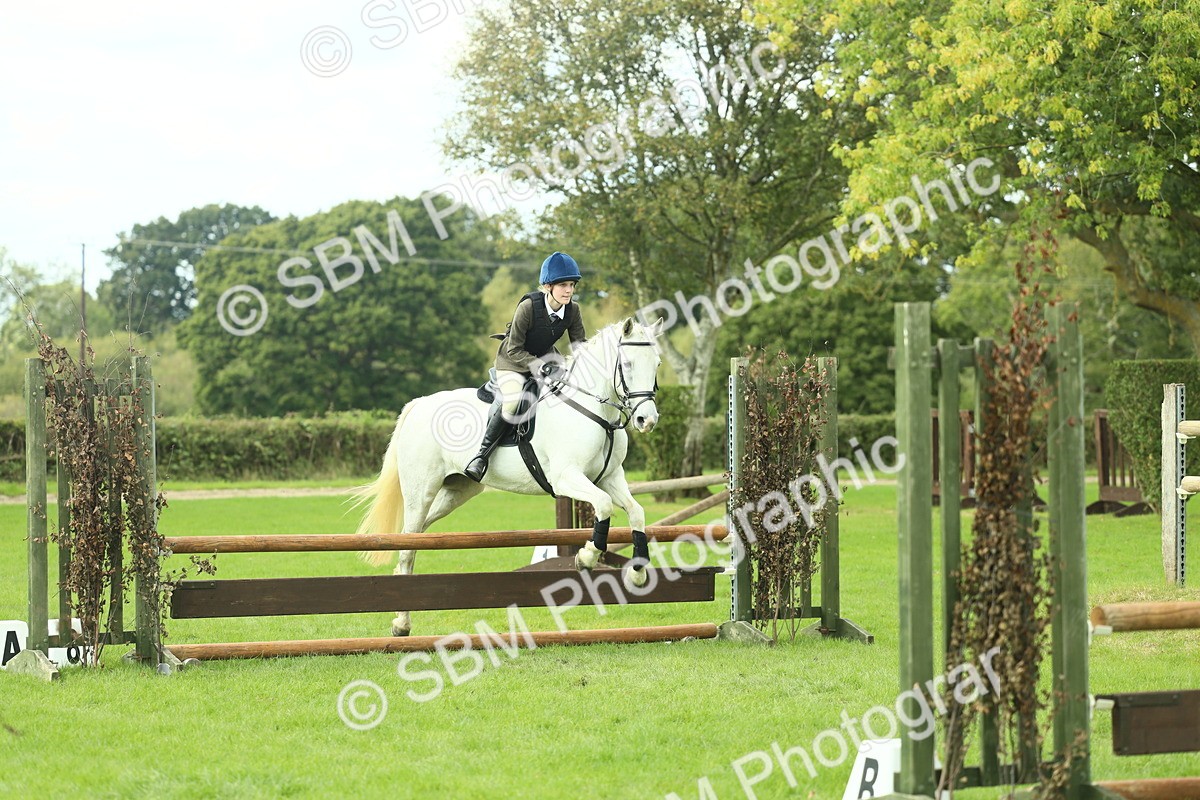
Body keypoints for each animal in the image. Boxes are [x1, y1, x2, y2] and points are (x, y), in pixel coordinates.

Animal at [353, 317, 664, 636]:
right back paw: (402, 623)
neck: (593, 410)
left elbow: (636, 512)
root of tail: (418, 405)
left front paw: (638, 574)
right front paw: (586, 557)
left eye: (657, 363)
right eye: (626, 364)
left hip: (456, 491)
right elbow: (603, 505)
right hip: (421, 491)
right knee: (408, 546)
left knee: (414, 537)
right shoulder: (567, 477)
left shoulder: (610, 478)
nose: (647, 420)